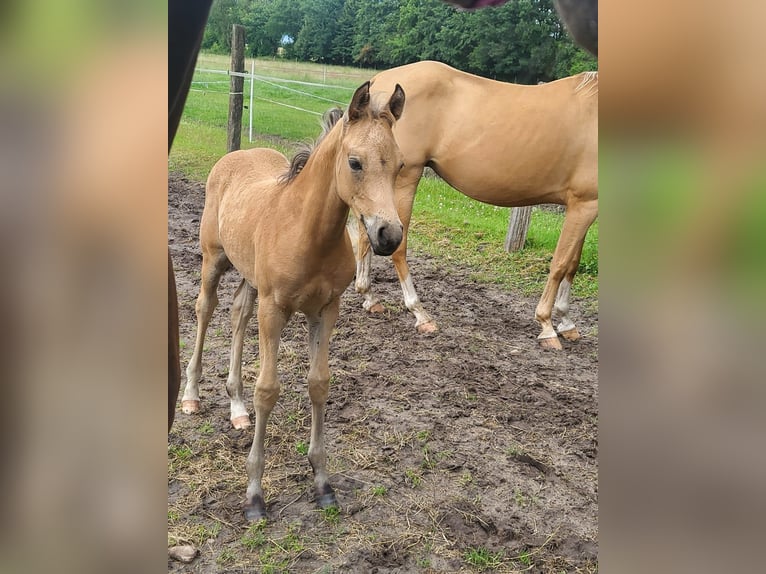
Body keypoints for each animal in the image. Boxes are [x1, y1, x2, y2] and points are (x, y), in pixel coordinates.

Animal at [181, 82, 408, 520]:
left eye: (400, 164)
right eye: (355, 162)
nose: (389, 235)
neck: (308, 232)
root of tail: (236, 154)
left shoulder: (326, 309)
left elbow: (319, 383)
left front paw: (322, 482)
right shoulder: (275, 309)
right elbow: (268, 390)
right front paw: (254, 495)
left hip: (250, 278)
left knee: (238, 314)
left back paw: (237, 409)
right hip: (213, 260)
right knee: (205, 310)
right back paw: (192, 396)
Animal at [354, 62, 600, 352]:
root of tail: (381, 80)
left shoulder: (581, 206)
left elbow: (572, 263)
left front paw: (567, 323)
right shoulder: (585, 204)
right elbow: (560, 264)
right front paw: (547, 325)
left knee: (366, 235)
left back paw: (370, 297)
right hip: (405, 179)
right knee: (397, 247)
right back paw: (420, 314)